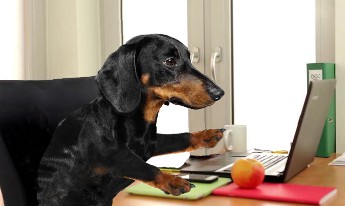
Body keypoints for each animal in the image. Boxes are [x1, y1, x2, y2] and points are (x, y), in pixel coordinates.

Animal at [37, 34, 224, 205]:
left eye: (189, 59)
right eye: (170, 61)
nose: (219, 93)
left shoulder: (151, 143)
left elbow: (179, 137)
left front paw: (207, 135)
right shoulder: (109, 156)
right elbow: (140, 165)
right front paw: (173, 181)